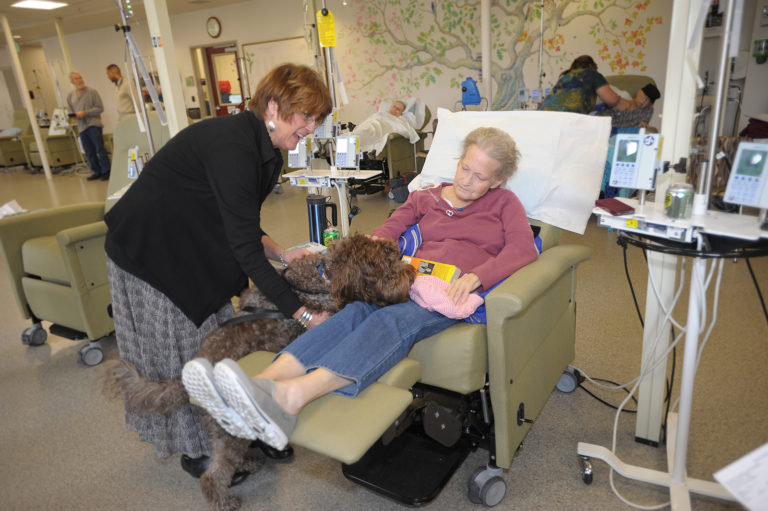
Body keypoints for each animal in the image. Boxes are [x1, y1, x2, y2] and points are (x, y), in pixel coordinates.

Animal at [103, 236, 414, 511]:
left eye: (396, 256)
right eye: (388, 265)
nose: (411, 275)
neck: (320, 278)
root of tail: (186, 379)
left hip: (224, 429)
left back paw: (249, 463)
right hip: (229, 430)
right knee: (213, 475)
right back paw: (223, 501)